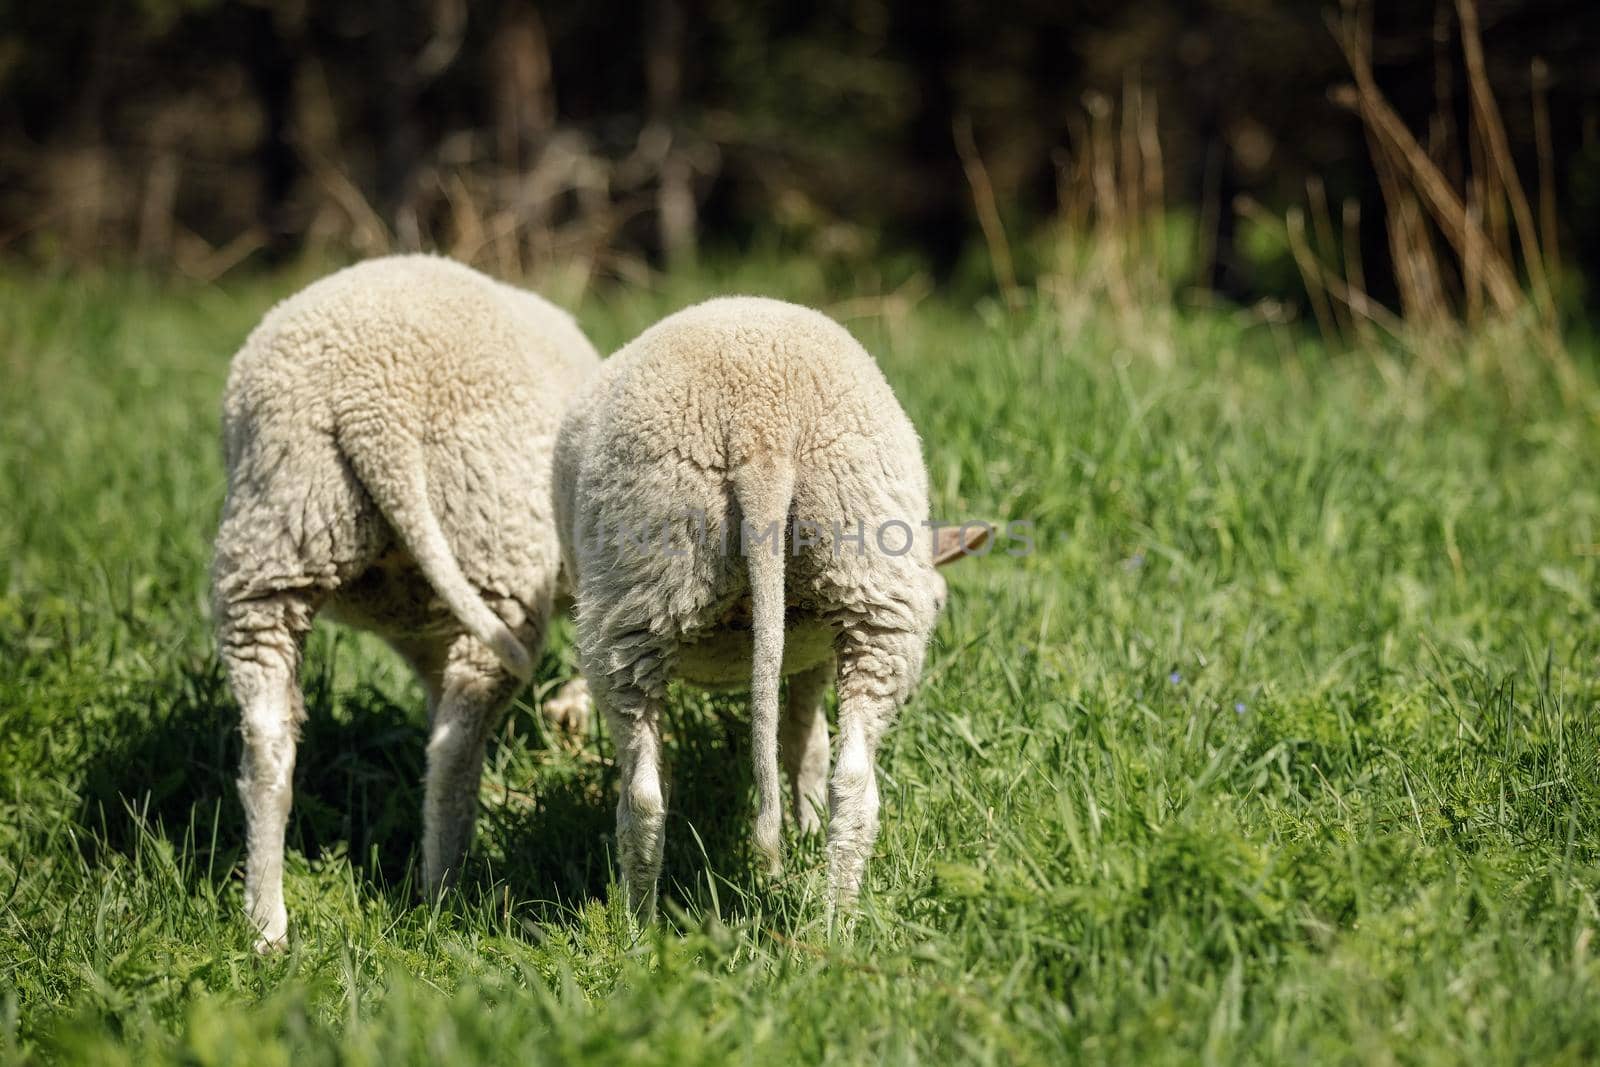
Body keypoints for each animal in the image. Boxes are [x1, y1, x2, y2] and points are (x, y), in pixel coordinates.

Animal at [216, 252, 601, 953]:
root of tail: (372, 405)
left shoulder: (427, 633)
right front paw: (571, 713)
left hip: (272, 545)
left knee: (267, 742)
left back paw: (266, 923)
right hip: (492, 546)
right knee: (453, 748)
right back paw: (444, 890)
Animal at [550, 299, 979, 921]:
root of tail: (761, 431)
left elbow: (803, 742)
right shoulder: (816, 650)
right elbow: (807, 743)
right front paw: (805, 827)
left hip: (639, 594)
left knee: (644, 794)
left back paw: (641, 927)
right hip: (870, 582)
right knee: (853, 780)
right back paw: (834, 922)